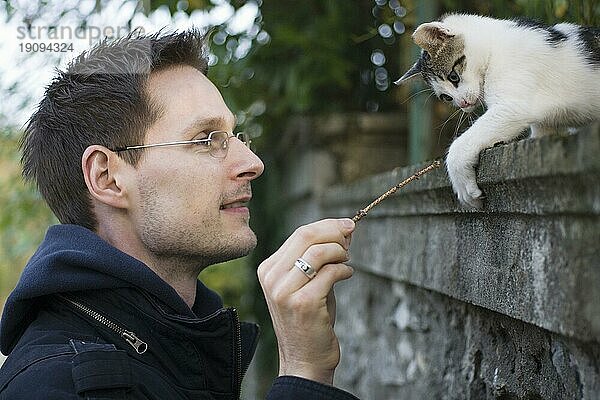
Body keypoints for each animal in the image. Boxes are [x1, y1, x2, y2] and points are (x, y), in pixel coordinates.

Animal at [396, 14, 596, 209]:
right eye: (446, 97)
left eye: (453, 77)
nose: (462, 103)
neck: (495, 46)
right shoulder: (543, 126)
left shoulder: (511, 106)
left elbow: (460, 144)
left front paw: (462, 185)